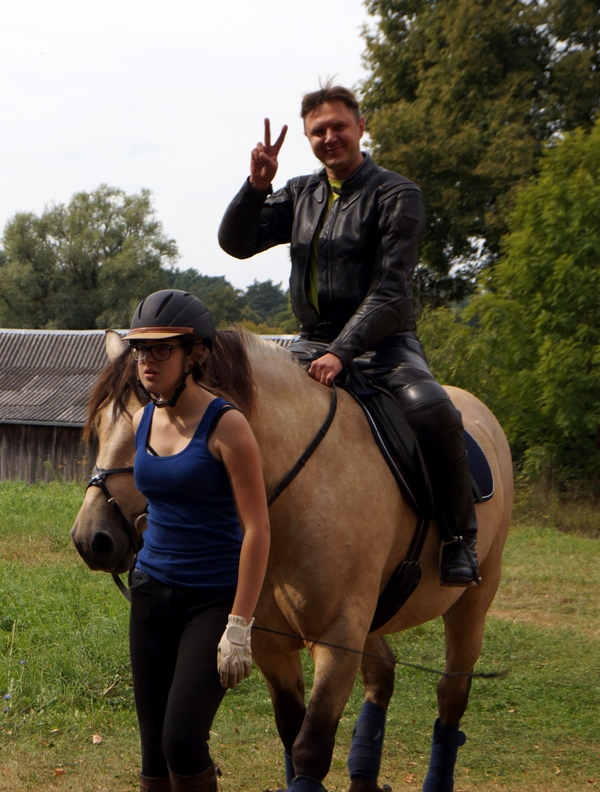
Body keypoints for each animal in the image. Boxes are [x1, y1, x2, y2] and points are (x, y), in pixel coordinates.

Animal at [71, 328, 513, 792]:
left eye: (147, 426)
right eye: (100, 427)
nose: (91, 539)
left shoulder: (337, 639)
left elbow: (309, 748)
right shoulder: (267, 642)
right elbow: (289, 729)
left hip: (470, 603)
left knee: (451, 695)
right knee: (383, 674)